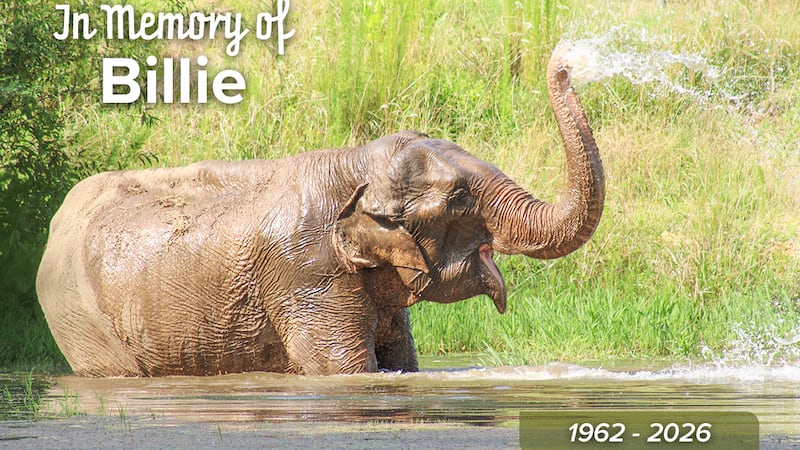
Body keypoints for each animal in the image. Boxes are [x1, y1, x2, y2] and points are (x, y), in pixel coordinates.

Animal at [36, 46, 604, 376]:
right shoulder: (307, 278)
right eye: (460, 200)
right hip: (83, 327)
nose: (565, 62)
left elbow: (404, 366)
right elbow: (348, 374)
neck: (353, 164)